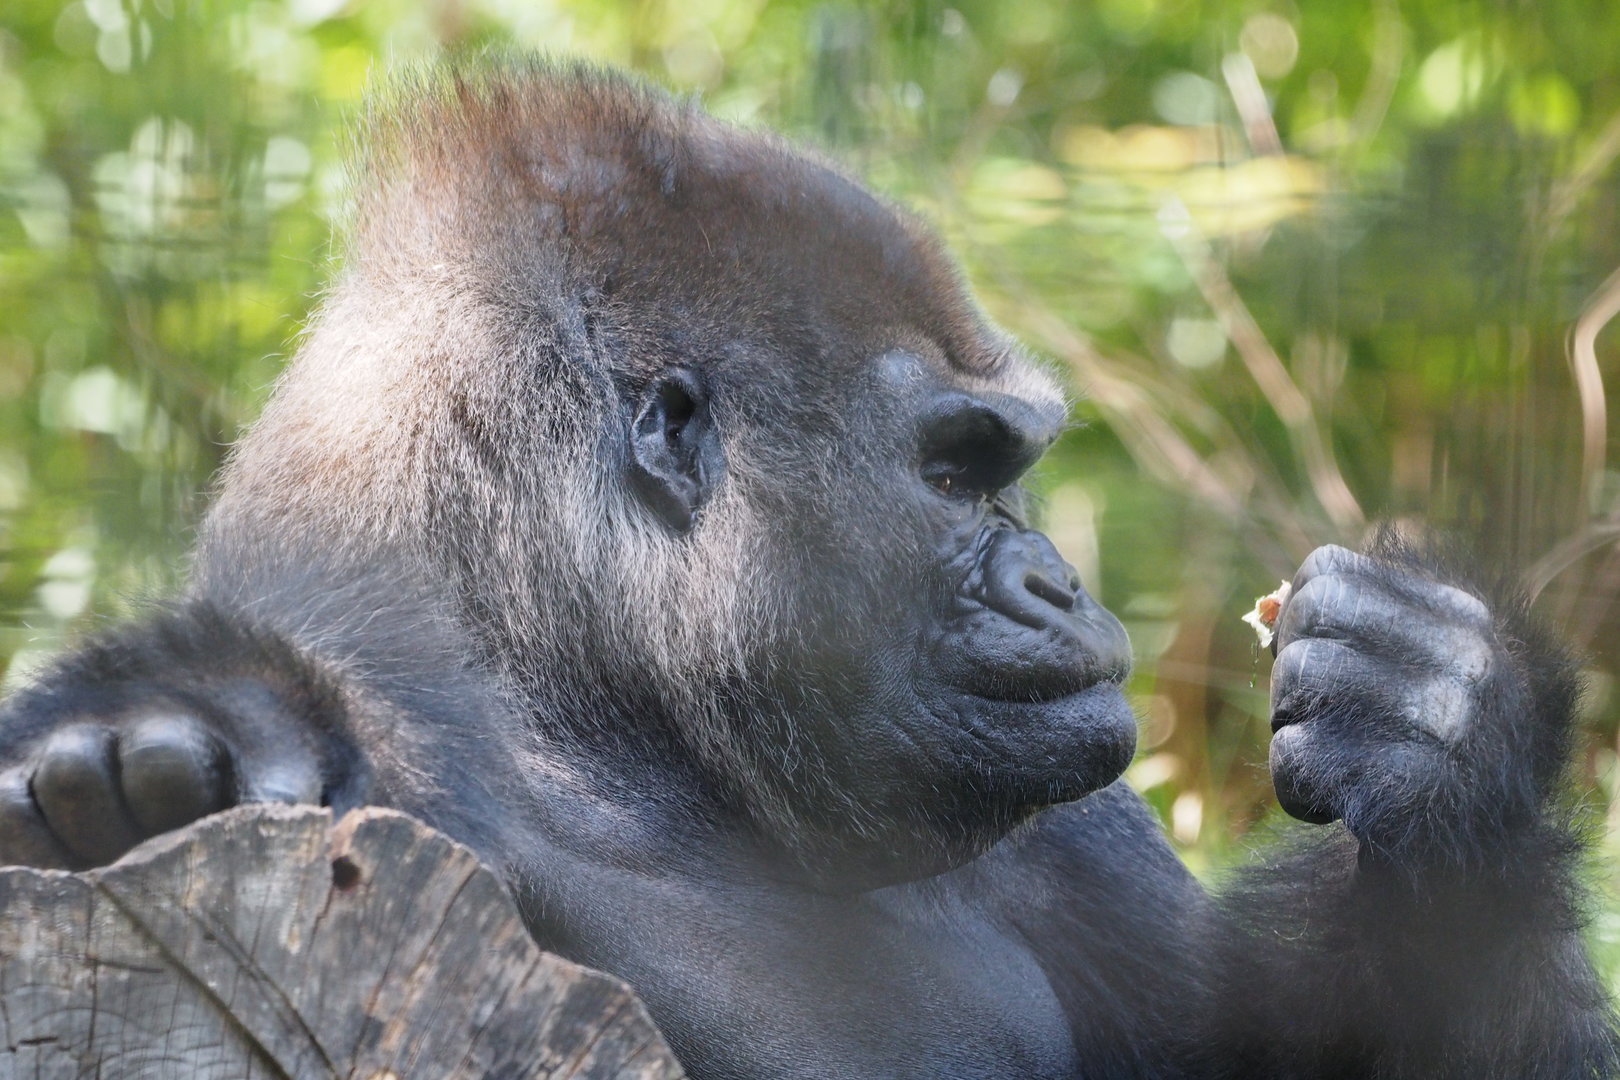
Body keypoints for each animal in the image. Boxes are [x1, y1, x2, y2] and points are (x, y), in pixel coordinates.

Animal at [0, 60, 1615, 1078]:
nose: (1058, 585)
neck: (592, 726)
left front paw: (1443, 734)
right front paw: (149, 759)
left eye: (1004, 469)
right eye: (956, 471)